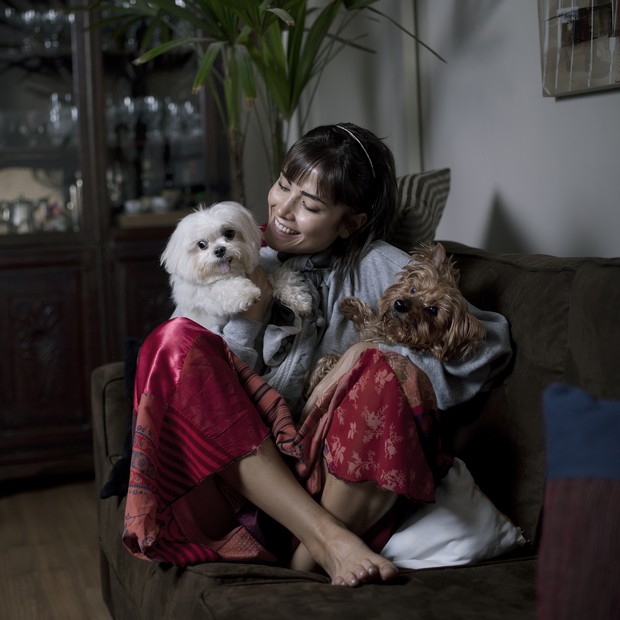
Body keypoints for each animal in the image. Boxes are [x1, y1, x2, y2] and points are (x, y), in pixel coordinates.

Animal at [161, 202, 312, 330]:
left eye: (229, 233)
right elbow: (222, 287)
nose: (219, 250)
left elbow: (281, 274)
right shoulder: (204, 296)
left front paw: (299, 299)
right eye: (201, 244)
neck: (232, 272)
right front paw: (247, 293)